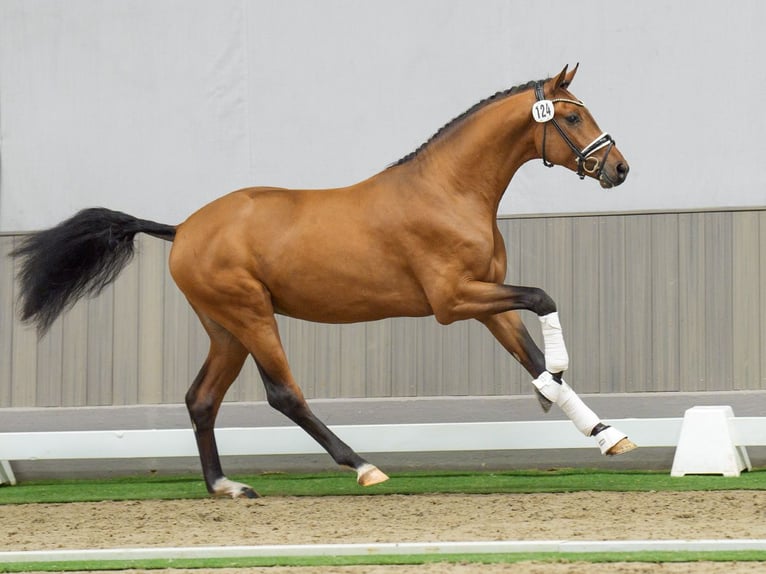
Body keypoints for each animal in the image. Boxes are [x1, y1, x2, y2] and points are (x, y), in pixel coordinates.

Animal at [12, 64, 636, 500]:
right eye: (573, 117)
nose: (619, 168)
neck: (448, 190)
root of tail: (183, 228)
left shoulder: (486, 302)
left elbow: (529, 350)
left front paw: (603, 432)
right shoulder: (453, 300)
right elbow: (544, 300)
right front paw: (555, 382)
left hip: (225, 328)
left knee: (201, 399)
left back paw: (226, 487)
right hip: (251, 316)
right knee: (282, 393)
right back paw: (363, 467)